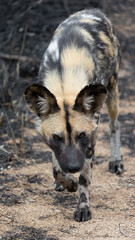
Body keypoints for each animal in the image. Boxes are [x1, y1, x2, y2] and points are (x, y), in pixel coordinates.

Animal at [24, 10, 124, 222]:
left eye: (81, 135)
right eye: (57, 137)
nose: (73, 167)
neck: (65, 82)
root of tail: (94, 11)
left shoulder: (91, 137)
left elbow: (85, 178)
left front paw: (82, 206)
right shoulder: (52, 141)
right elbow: (55, 169)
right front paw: (68, 182)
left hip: (112, 94)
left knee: (115, 125)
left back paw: (116, 161)